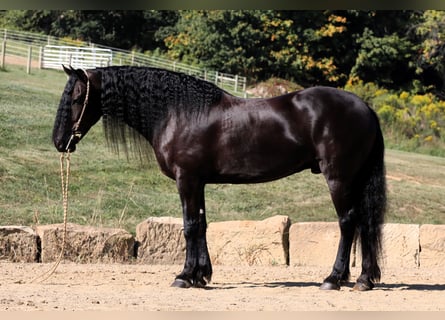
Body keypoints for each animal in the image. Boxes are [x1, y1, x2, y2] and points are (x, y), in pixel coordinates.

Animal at [53, 65, 386, 290]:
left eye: (77, 98)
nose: (59, 142)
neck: (178, 112)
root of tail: (366, 108)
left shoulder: (186, 179)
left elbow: (189, 226)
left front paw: (184, 276)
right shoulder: (198, 182)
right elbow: (201, 225)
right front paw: (201, 275)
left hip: (339, 178)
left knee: (348, 222)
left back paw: (333, 278)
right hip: (355, 180)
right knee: (366, 223)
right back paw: (364, 279)